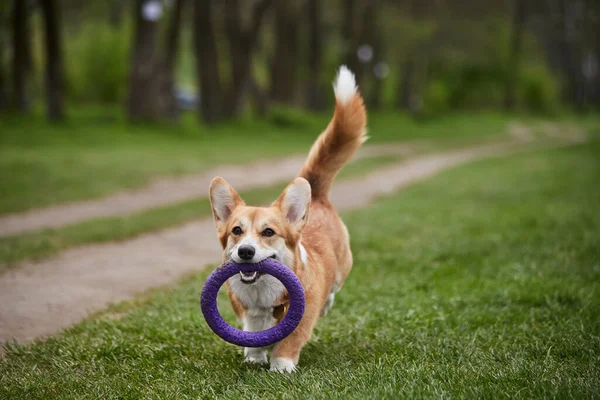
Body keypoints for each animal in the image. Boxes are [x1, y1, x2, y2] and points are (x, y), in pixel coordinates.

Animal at [209, 65, 368, 372]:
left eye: (269, 232)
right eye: (237, 230)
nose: (245, 252)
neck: (262, 293)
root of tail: (316, 194)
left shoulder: (302, 318)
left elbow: (289, 341)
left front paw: (280, 367)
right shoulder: (247, 316)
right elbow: (252, 335)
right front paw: (254, 357)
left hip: (344, 266)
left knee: (334, 289)